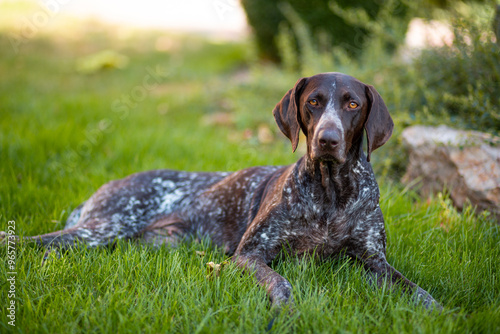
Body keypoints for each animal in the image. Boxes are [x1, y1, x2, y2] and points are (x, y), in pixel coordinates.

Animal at [27, 72, 442, 310]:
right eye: (314, 102)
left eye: (352, 104)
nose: (327, 139)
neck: (330, 194)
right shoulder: (250, 255)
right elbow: (281, 282)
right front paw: (285, 309)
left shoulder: (373, 261)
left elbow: (417, 290)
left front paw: (439, 312)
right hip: (103, 227)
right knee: (32, 241)